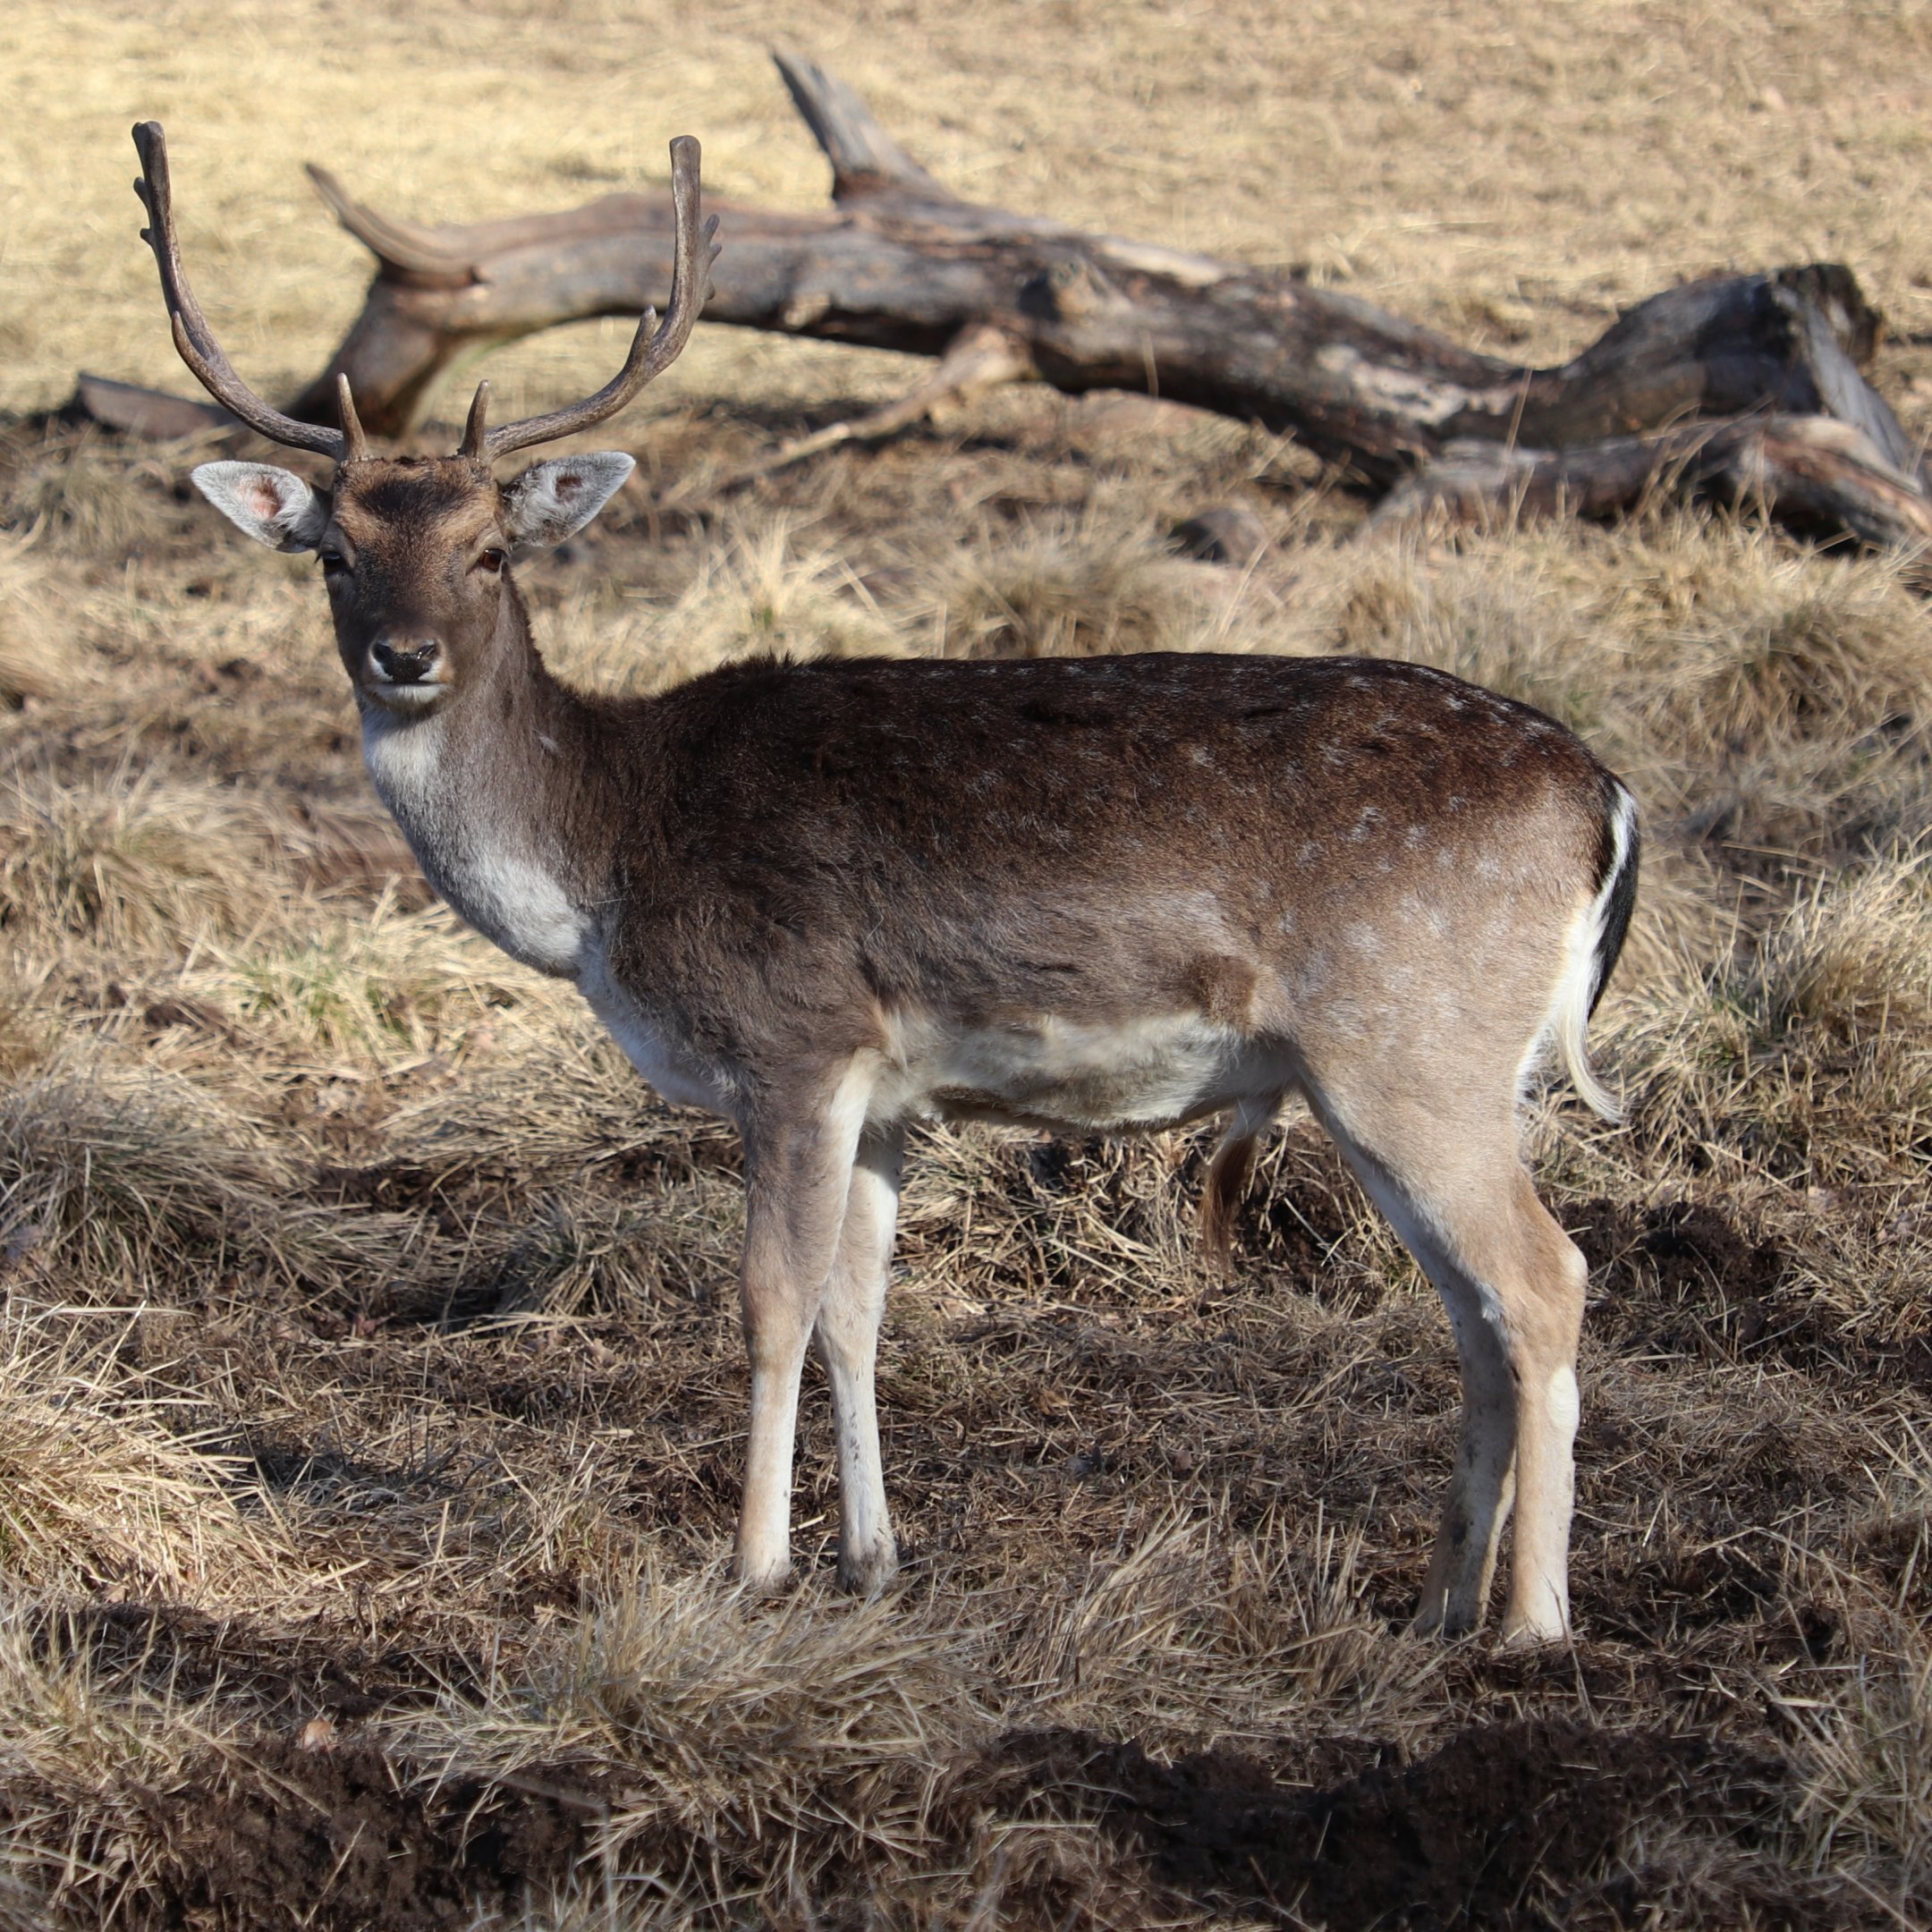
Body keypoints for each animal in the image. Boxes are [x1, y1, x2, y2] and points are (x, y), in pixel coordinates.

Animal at [133, 121, 1638, 1646]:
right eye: (335, 555)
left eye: (490, 551)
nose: (406, 656)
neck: (607, 863)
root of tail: (1606, 800)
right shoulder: (888, 1091)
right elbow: (859, 1308)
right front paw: (871, 1557)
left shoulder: (795, 1039)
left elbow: (771, 1301)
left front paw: (755, 1567)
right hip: (1424, 1071)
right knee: (1475, 1309)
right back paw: (1443, 1600)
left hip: (1410, 1043)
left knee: (1546, 1280)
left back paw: (1535, 1620)